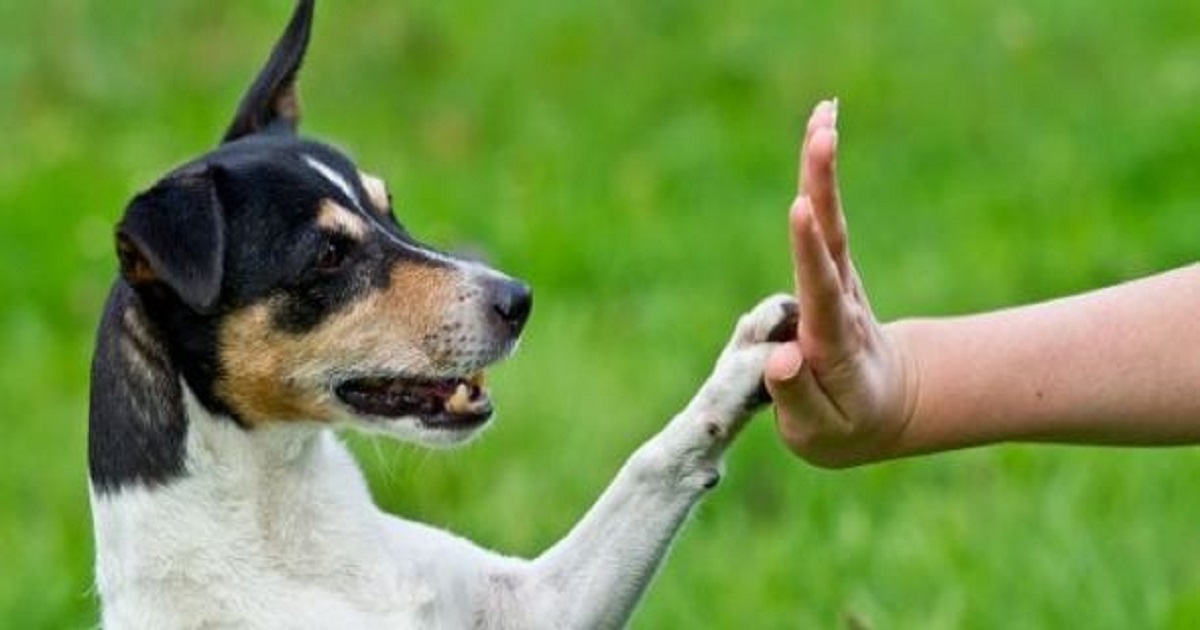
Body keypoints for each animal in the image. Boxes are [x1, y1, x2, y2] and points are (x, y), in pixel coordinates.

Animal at [88, 2, 801, 624]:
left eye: (389, 207)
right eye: (327, 254)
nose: (518, 299)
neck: (285, 528)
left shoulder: (539, 605)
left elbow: (650, 466)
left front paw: (743, 366)